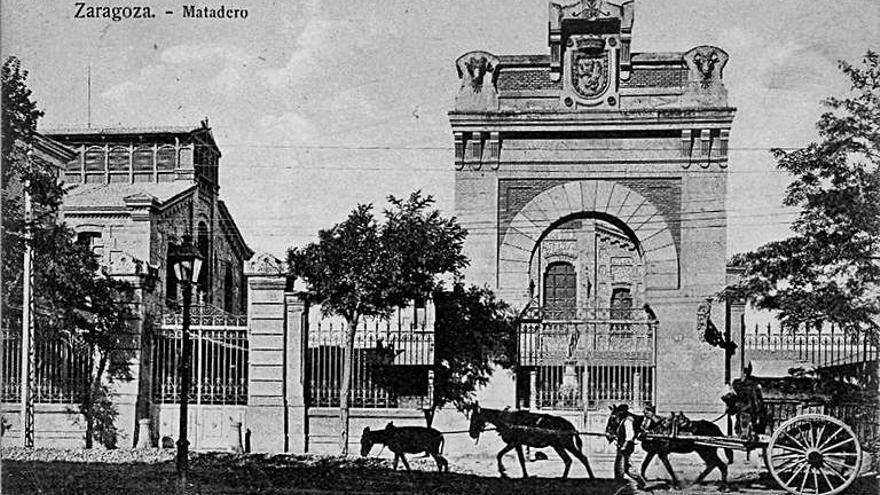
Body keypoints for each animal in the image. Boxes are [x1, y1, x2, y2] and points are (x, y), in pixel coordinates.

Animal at [468, 404, 600, 480]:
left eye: (473, 418)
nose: (471, 434)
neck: (504, 419)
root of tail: (570, 425)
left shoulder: (515, 443)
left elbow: (513, 458)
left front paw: (507, 472)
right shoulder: (515, 444)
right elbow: (506, 456)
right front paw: (508, 472)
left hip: (567, 444)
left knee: (582, 458)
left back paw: (592, 477)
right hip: (558, 446)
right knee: (568, 460)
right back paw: (563, 478)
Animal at [604, 404, 736, 490]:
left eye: (613, 418)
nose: (608, 434)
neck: (649, 426)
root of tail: (716, 428)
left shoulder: (661, 452)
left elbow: (668, 468)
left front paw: (676, 484)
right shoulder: (653, 451)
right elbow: (644, 465)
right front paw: (642, 481)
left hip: (707, 451)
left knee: (720, 465)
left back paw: (723, 487)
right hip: (704, 451)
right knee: (712, 464)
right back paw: (696, 482)